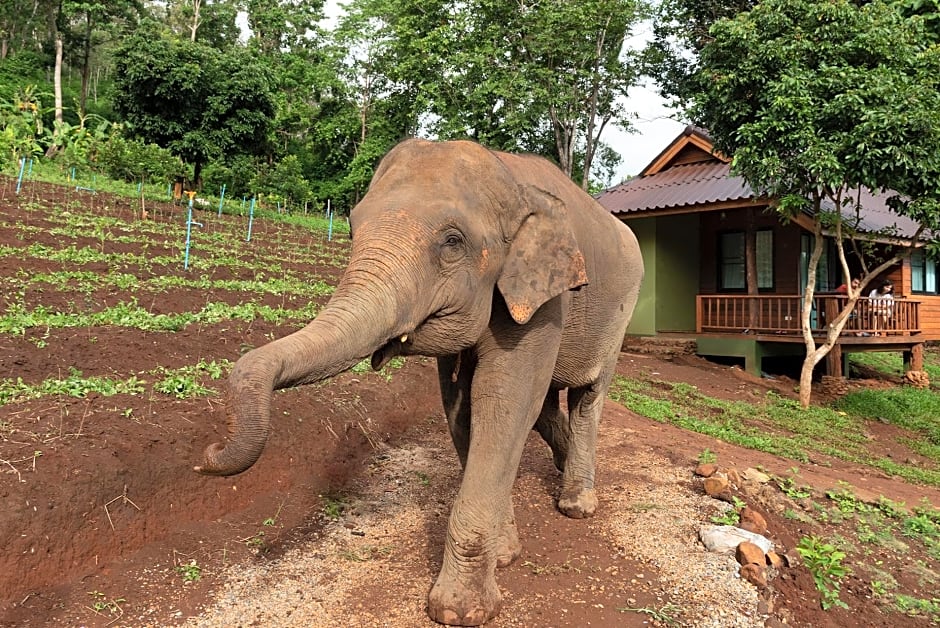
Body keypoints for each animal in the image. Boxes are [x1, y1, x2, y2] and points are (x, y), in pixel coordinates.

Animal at [195, 138, 643, 626]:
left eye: (452, 242)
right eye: (350, 229)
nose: (207, 453)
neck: (507, 174)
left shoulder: (545, 300)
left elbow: (503, 402)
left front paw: (460, 611)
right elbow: (463, 406)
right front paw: (505, 556)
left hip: (620, 316)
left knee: (588, 398)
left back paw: (577, 505)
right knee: (546, 405)